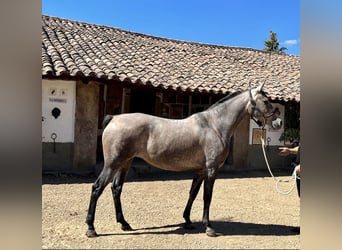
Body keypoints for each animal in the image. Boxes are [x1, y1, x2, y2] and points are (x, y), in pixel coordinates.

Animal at [85, 83, 280, 237]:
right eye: (266, 101)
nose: (278, 123)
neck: (215, 125)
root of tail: (114, 118)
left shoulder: (201, 170)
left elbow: (193, 193)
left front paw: (187, 220)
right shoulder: (211, 169)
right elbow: (207, 196)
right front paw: (208, 227)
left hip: (125, 163)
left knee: (116, 189)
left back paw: (124, 224)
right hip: (112, 164)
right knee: (97, 188)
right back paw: (91, 228)